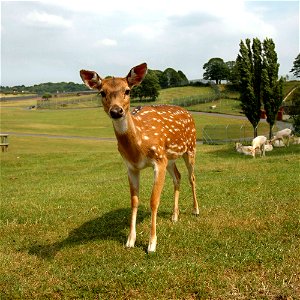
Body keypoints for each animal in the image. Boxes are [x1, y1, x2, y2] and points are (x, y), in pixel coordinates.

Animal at [79, 63, 199, 253]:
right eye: (102, 92)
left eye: (127, 90)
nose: (116, 111)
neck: (139, 147)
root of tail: (188, 112)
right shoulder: (131, 167)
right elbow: (134, 201)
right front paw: (130, 240)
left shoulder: (158, 160)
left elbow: (154, 201)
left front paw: (152, 243)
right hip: (170, 158)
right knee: (178, 177)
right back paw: (174, 215)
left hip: (190, 148)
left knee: (191, 177)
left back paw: (195, 210)